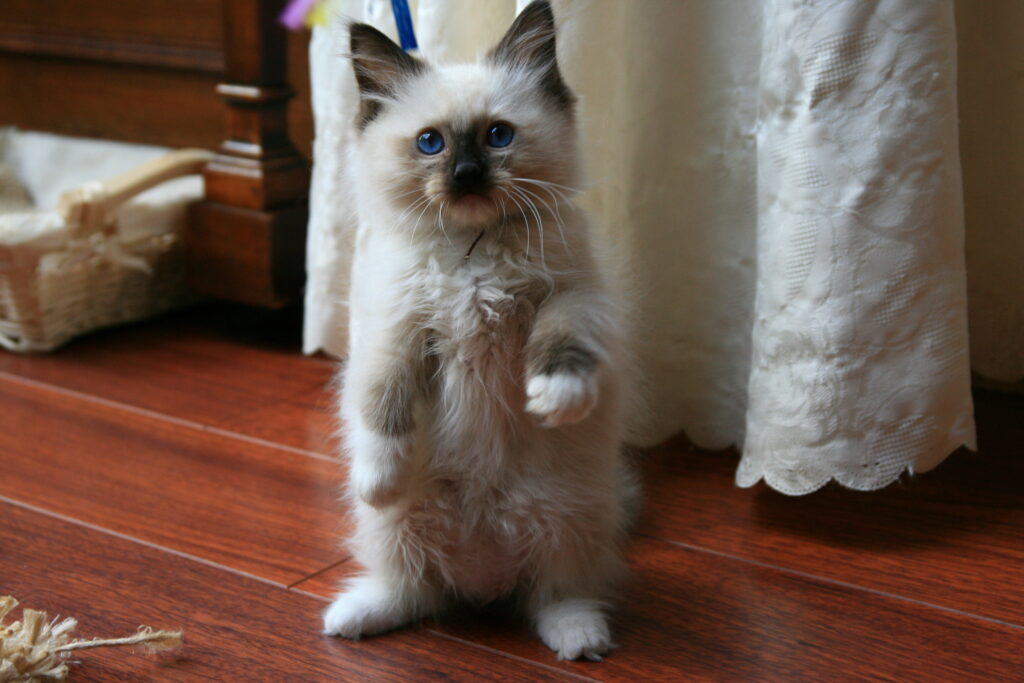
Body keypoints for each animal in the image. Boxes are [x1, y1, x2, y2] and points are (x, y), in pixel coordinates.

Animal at [323, 0, 634, 663]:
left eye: (498, 136)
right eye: (430, 143)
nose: (466, 174)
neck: (475, 254)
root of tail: (483, 579)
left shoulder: (572, 298)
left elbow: (562, 346)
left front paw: (554, 400)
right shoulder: (397, 329)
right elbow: (382, 410)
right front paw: (377, 480)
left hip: (571, 516)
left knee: (554, 592)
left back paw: (579, 638)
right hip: (398, 530)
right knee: (414, 588)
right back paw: (353, 617)